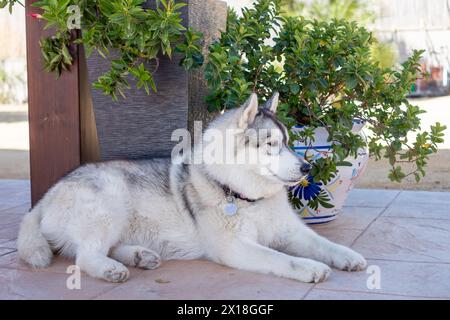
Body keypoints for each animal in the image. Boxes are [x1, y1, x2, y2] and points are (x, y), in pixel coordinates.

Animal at [18, 92, 370, 282]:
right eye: (271, 144)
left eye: (287, 142)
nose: (307, 167)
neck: (244, 196)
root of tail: (45, 197)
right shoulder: (235, 247)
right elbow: (284, 259)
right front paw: (311, 267)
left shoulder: (293, 232)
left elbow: (325, 244)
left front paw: (347, 256)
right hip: (111, 204)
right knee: (85, 256)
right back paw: (111, 269)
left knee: (100, 248)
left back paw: (138, 256)